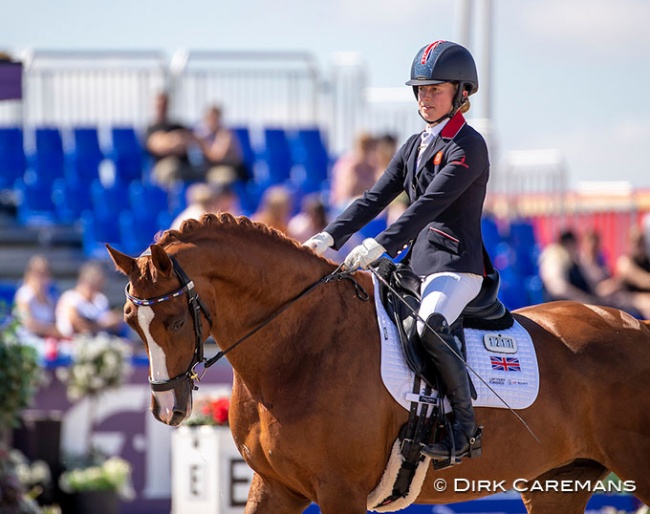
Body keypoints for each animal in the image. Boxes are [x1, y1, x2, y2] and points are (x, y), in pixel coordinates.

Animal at [107, 212, 648, 512]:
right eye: (131, 319)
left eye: (176, 321)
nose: (167, 410)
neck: (298, 344)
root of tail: (635, 325)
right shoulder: (274, 487)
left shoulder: (340, 492)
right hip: (557, 485)